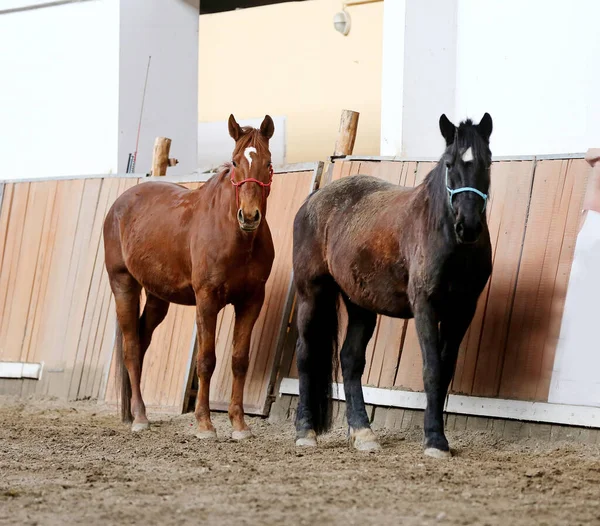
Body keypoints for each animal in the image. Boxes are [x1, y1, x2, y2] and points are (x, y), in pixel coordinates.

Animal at [103, 115, 276, 442]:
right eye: (235, 162)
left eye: (269, 163)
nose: (249, 217)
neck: (236, 236)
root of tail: (119, 205)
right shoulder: (207, 299)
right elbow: (206, 360)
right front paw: (205, 424)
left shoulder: (252, 301)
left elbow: (239, 360)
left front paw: (239, 425)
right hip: (124, 285)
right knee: (131, 349)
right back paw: (140, 417)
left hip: (157, 298)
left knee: (142, 344)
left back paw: (134, 411)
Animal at [290, 114, 492, 458]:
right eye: (449, 164)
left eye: (487, 162)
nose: (468, 226)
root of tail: (314, 200)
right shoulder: (425, 306)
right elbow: (432, 370)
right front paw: (434, 440)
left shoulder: (462, 310)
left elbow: (445, 370)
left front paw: (439, 437)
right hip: (311, 294)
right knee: (306, 355)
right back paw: (305, 431)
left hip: (360, 304)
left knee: (350, 360)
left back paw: (363, 432)